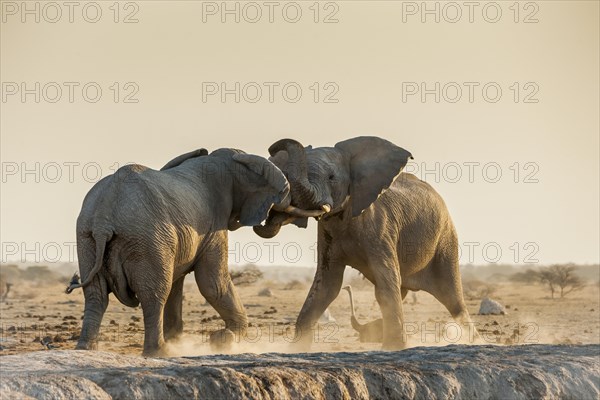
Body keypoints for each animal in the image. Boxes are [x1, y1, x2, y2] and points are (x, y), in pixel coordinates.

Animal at [67, 148, 292, 354]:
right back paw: (160, 352)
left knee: (96, 295)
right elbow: (213, 283)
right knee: (154, 294)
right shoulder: (214, 224)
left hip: (88, 238)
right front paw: (223, 340)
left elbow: (177, 284)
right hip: (145, 238)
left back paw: (85, 349)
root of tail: (103, 217)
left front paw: (192, 341)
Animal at [253, 138, 478, 350]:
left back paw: (474, 340)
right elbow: (326, 286)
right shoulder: (327, 233)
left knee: (453, 299)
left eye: (331, 178)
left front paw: (393, 348)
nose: (269, 218)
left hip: (446, 240)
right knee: (399, 289)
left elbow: (386, 280)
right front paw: (297, 349)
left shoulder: (380, 228)